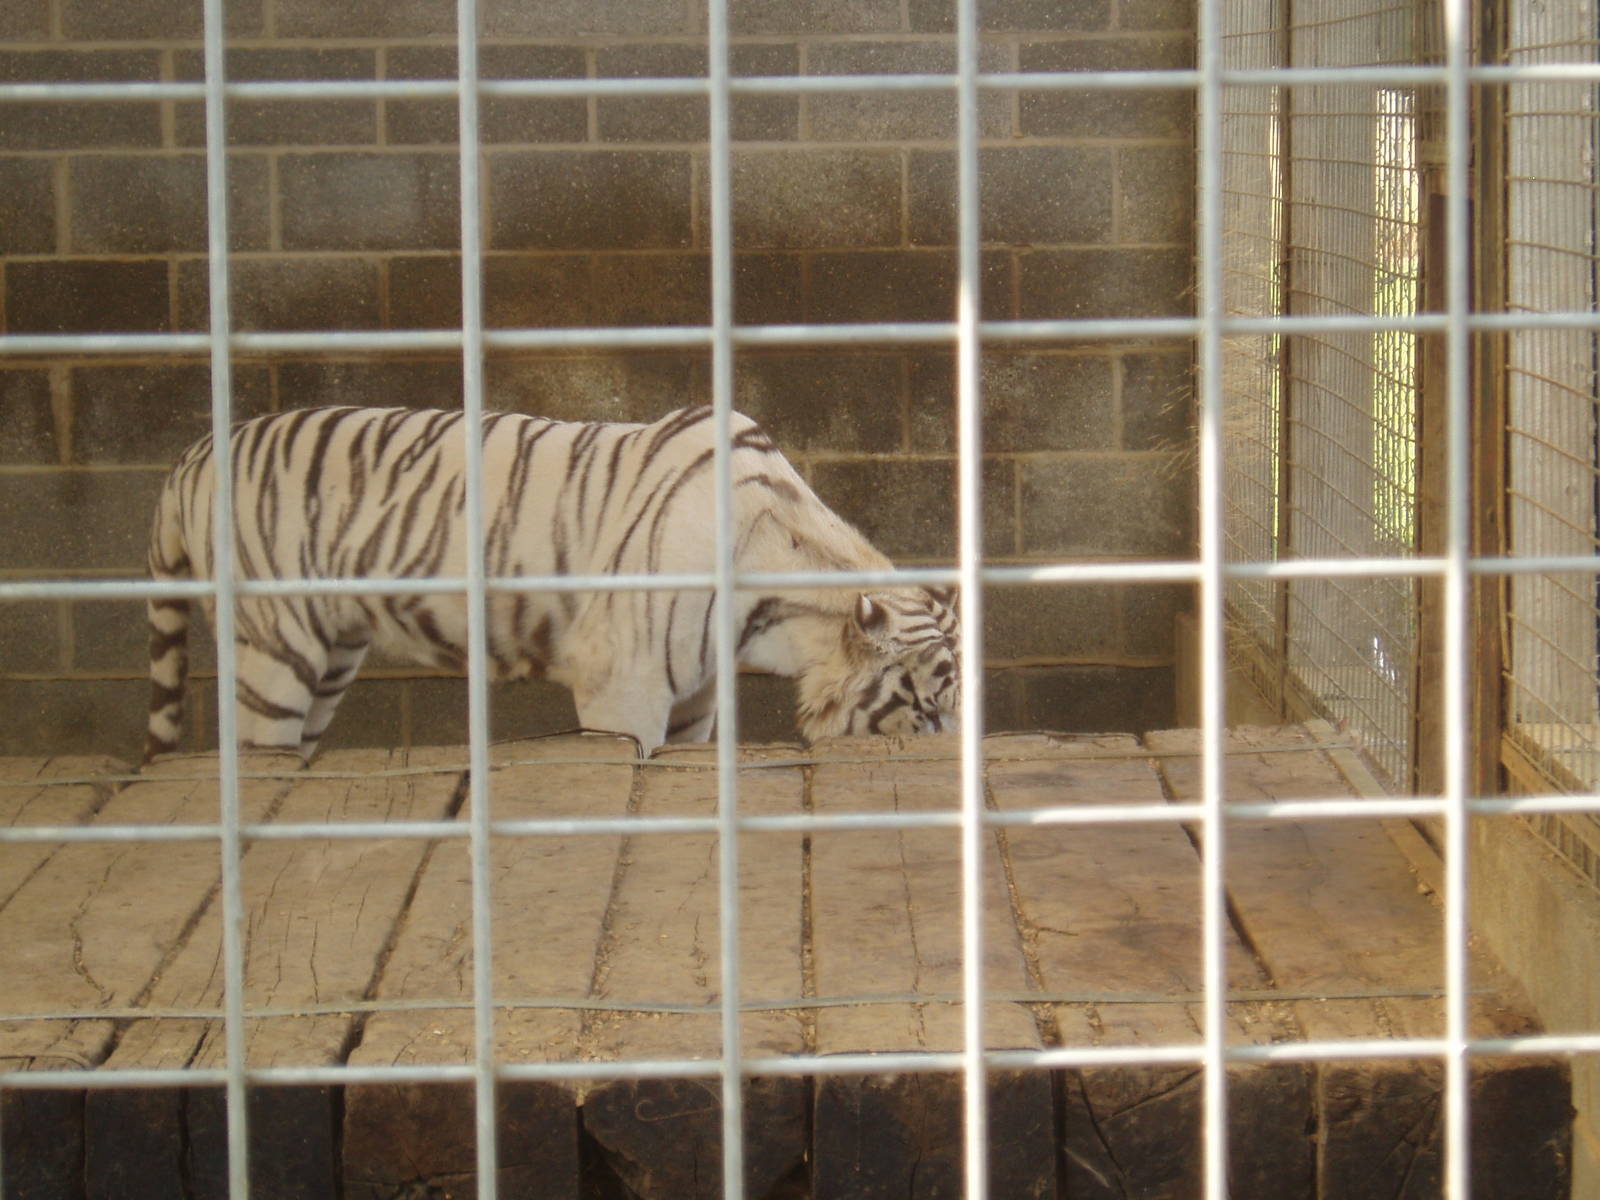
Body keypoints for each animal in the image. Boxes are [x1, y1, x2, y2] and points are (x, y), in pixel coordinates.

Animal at [143, 404, 961, 762]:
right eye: (927, 705)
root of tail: (191, 453)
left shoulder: (695, 695)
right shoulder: (623, 687)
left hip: (332, 652)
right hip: (275, 652)